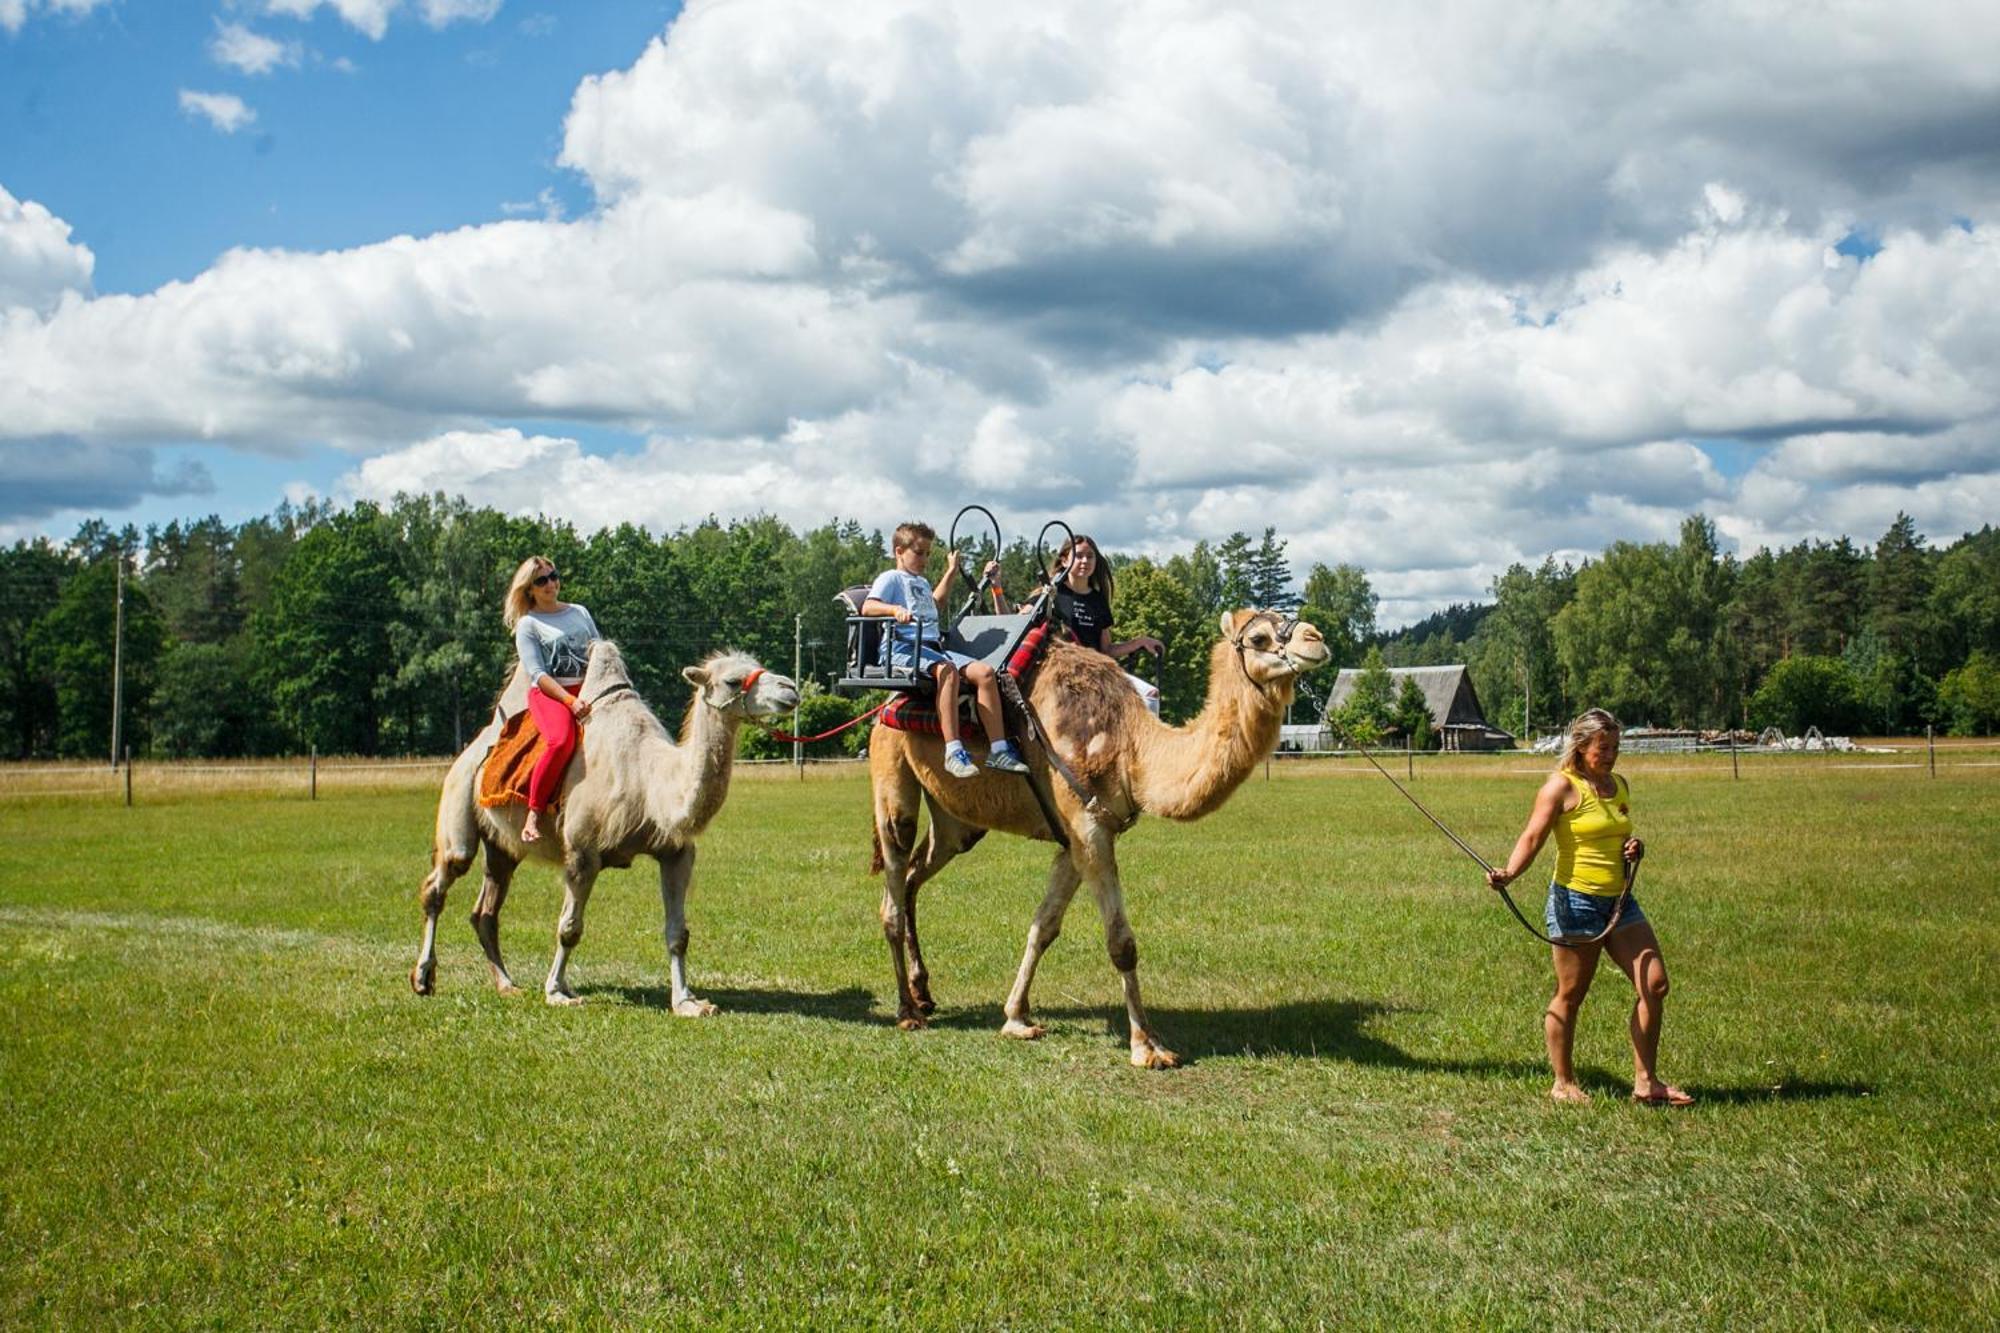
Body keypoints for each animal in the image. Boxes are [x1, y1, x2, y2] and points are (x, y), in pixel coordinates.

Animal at [408, 640, 796, 1008]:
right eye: (732, 680)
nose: (790, 688)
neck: (649, 781)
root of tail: (475, 748)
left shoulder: (676, 852)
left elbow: (678, 933)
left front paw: (687, 1001)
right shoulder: (582, 853)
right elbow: (569, 928)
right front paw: (556, 992)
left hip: (504, 846)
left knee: (486, 910)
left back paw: (506, 984)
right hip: (459, 802)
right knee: (440, 881)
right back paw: (423, 978)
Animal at [872, 608, 1328, 1064]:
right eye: (1259, 637)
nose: (1316, 638)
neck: (1130, 748)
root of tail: (884, 708)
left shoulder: (1078, 837)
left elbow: (1043, 926)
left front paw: (1016, 1018)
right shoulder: (1087, 828)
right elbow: (1121, 942)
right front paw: (1147, 1046)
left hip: (956, 824)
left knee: (914, 875)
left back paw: (923, 990)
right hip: (892, 773)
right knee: (892, 887)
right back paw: (908, 1011)